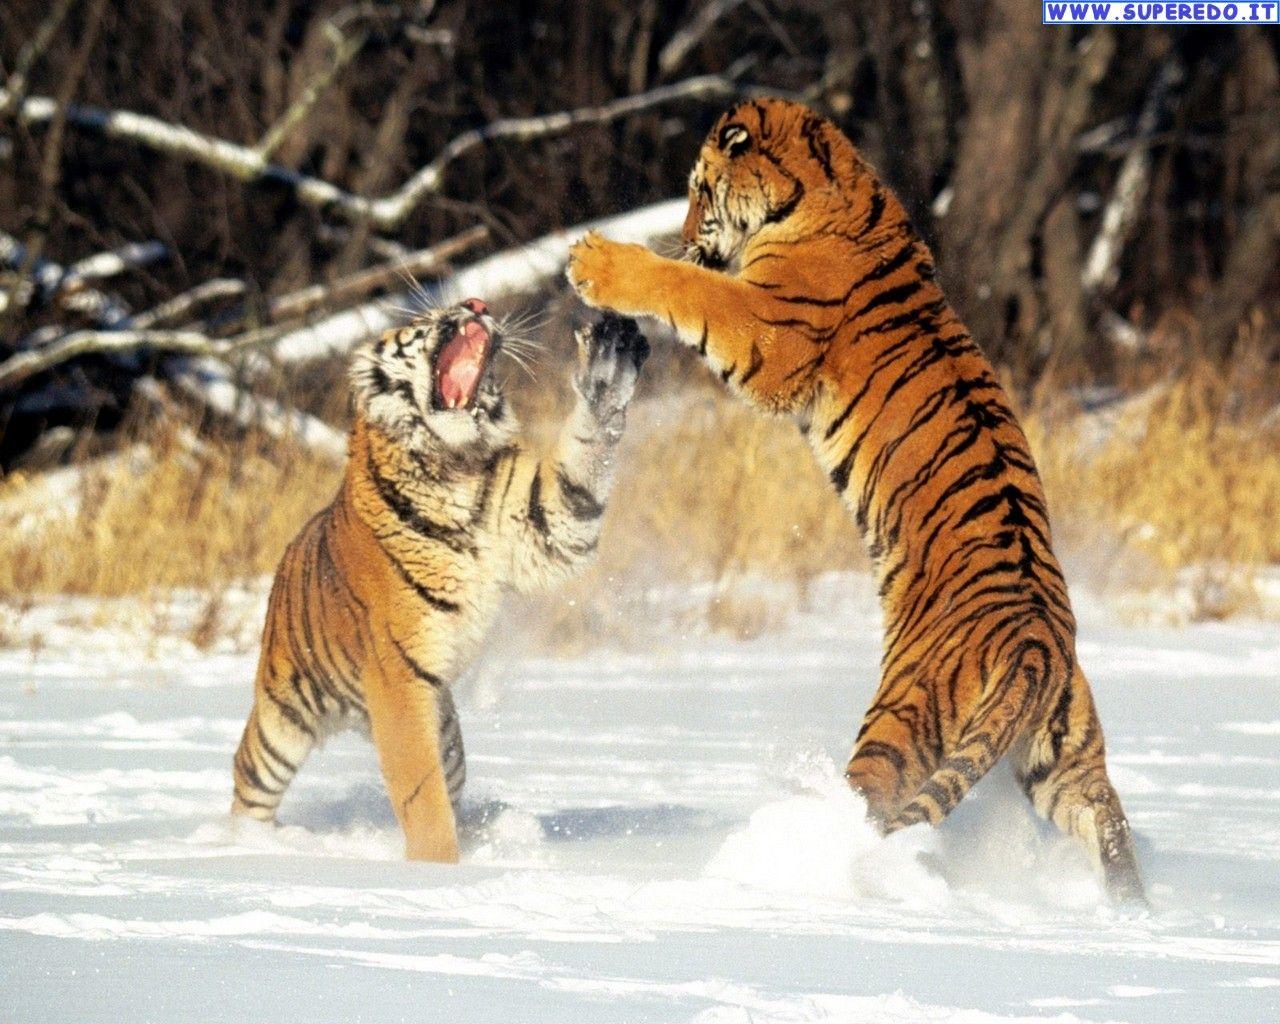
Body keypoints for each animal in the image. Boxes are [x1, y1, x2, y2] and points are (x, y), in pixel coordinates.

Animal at [231, 300, 649, 862]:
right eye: (421, 320)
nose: (477, 304)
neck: (454, 463)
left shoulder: (545, 523)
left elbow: (584, 466)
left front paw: (608, 369)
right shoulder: (398, 680)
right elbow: (422, 795)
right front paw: (439, 870)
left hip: (446, 733)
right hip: (282, 719)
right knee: (248, 775)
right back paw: (243, 845)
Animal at [567, 98, 1145, 905]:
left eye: (698, 190)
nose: (685, 233)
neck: (829, 179)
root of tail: (1037, 641)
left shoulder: (767, 334)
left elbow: (691, 291)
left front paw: (598, 261)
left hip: (900, 722)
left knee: (868, 805)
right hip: (1064, 758)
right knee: (1107, 822)